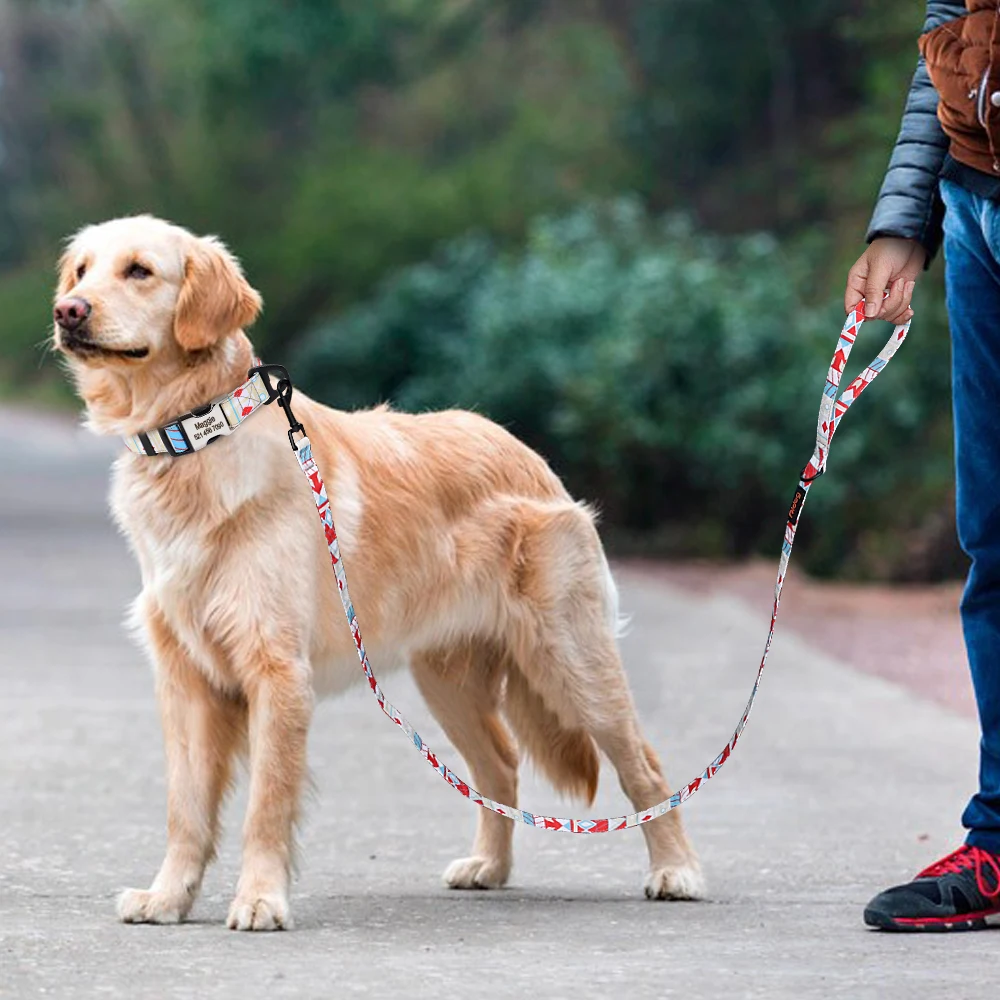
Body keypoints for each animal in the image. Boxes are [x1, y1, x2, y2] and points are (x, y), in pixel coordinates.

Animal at [50, 213, 700, 928]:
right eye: (82, 271)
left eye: (139, 270)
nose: (68, 311)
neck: (197, 436)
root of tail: (529, 454)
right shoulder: (187, 678)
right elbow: (185, 809)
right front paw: (168, 897)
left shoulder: (277, 671)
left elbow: (265, 806)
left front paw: (260, 900)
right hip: (448, 678)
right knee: (500, 766)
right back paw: (489, 867)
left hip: (571, 660)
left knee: (646, 766)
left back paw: (675, 871)